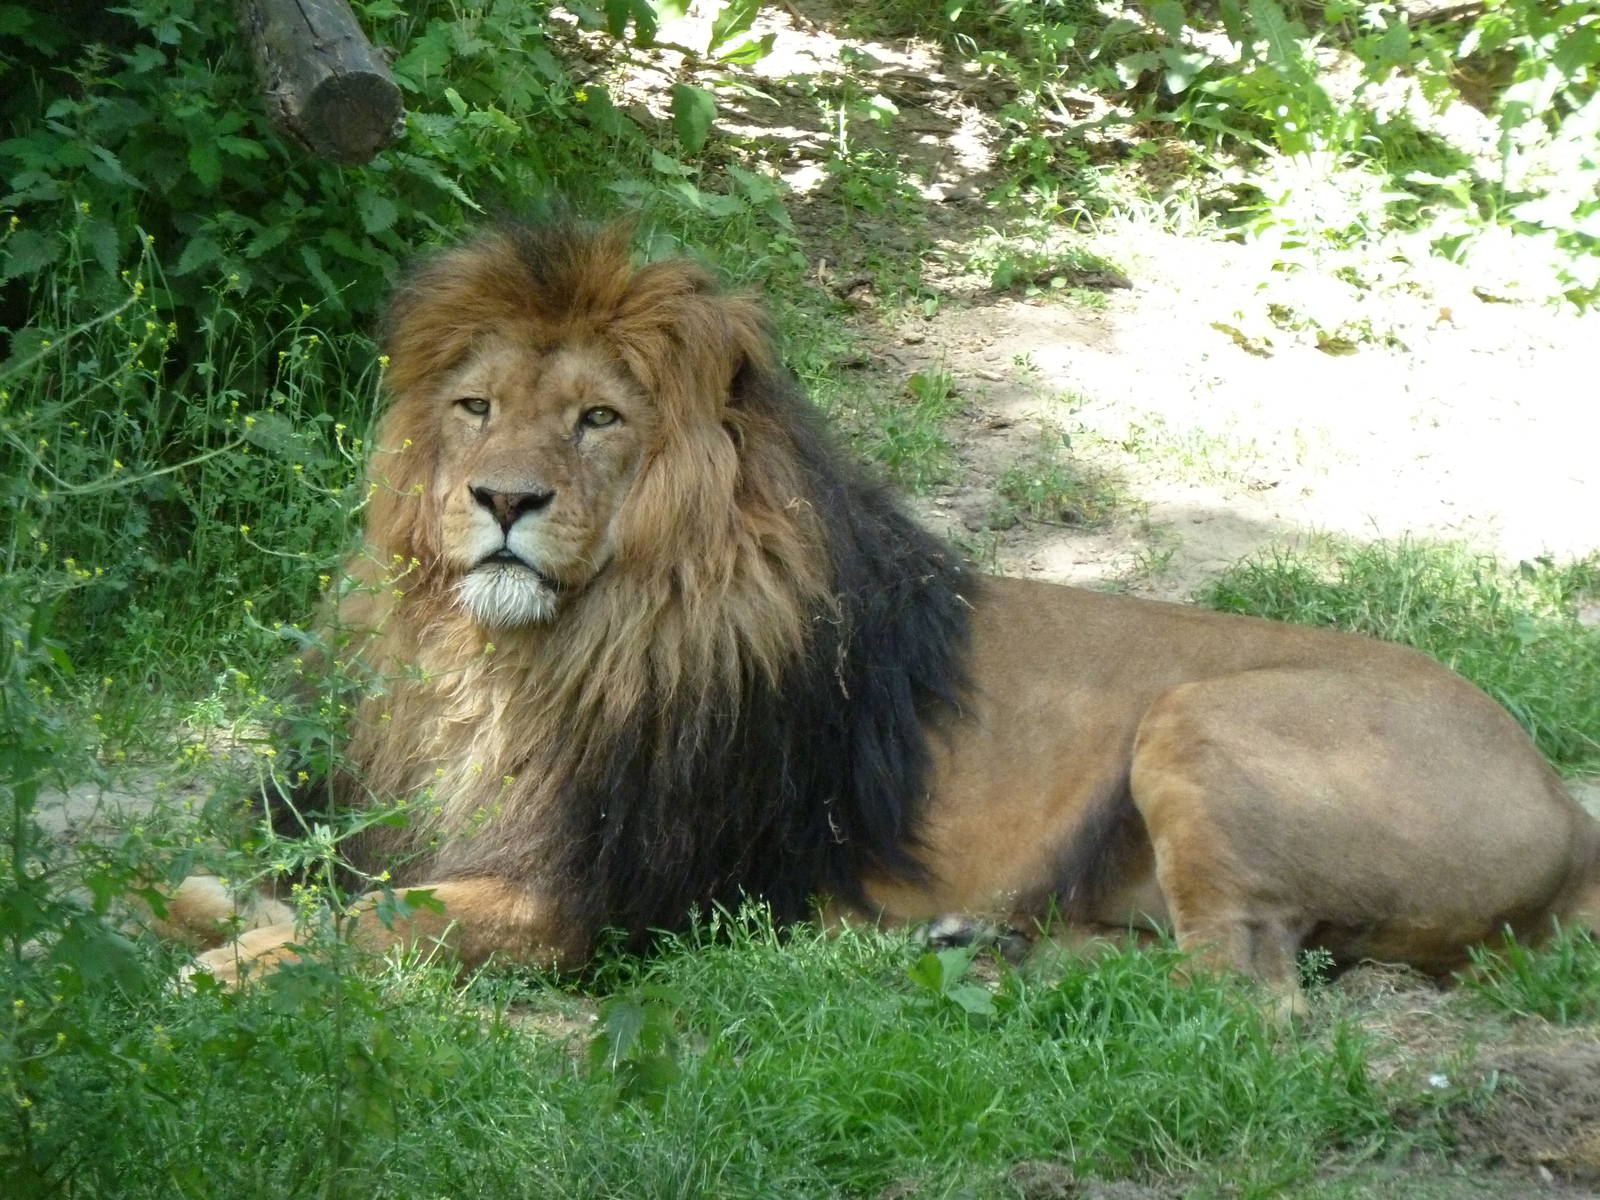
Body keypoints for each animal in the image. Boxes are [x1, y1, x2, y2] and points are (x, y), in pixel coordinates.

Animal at [176, 222, 1600, 1016]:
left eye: (597, 419)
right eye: (475, 408)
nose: (503, 501)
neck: (524, 658)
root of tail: (1565, 802)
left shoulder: (609, 901)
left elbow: (373, 925)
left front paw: (213, 978)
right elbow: (241, 882)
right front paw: (204, 916)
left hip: (1203, 717)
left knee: (1244, 996)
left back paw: (977, 958)